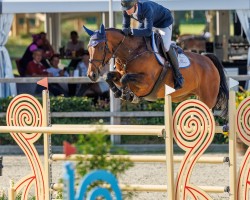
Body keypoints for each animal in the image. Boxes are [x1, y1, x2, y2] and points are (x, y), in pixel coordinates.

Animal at [84, 24, 229, 116]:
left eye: (101, 47)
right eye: (88, 48)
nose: (92, 75)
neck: (132, 53)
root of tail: (208, 59)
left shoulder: (147, 82)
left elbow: (126, 78)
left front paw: (127, 95)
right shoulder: (120, 74)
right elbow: (110, 76)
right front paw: (118, 92)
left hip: (207, 98)